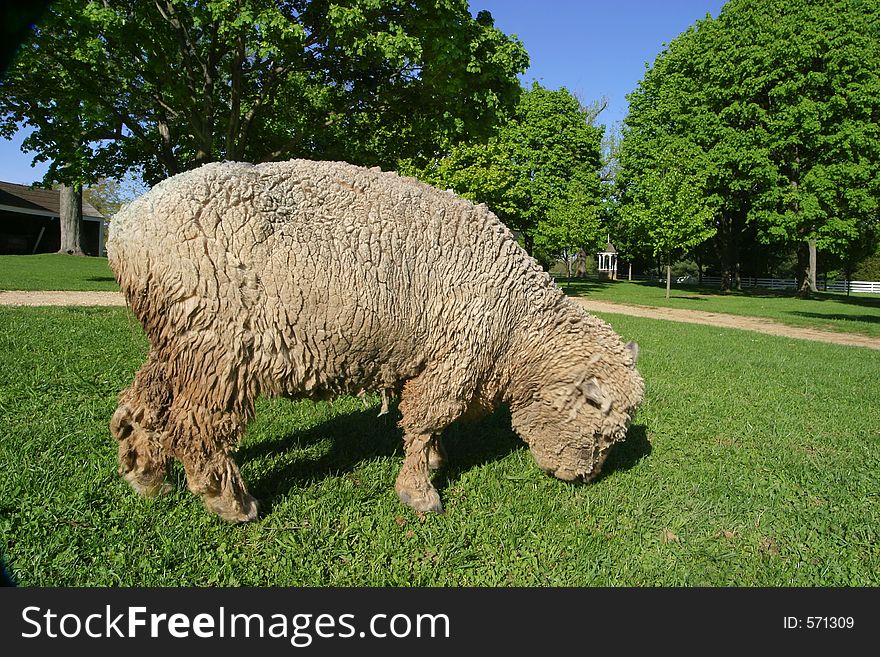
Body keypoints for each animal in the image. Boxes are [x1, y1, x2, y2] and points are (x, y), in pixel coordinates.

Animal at [108, 156, 648, 520]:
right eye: (600, 432)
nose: (581, 478)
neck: (517, 323)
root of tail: (124, 228)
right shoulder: (455, 356)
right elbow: (429, 420)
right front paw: (419, 491)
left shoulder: (430, 361)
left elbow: (425, 425)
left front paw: (434, 461)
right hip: (219, 345)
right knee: (195, 425)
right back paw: (229, 500)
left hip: (179, 338)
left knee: (142, 403)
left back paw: (145, 476)